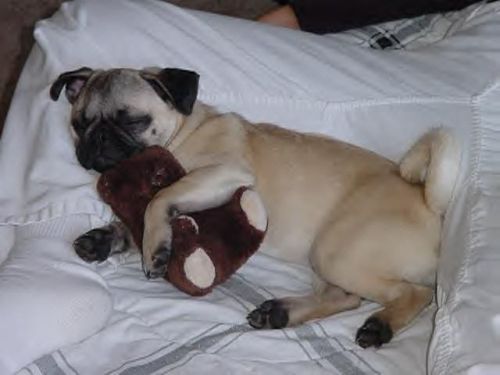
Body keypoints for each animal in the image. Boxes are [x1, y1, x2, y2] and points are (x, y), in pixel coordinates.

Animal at [50, 67, 460, 350]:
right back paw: (279, 313)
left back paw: (380, 325)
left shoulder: (223, 174)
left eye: (134, 121)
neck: (182, 131)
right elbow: (132, 220)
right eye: (79, 124)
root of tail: (430, 203)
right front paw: (105, 238)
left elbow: (158, 200)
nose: (97, 140)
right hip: (328, 260)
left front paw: (155, 249)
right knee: (344, 297)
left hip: (336, 252)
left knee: (415, 295)